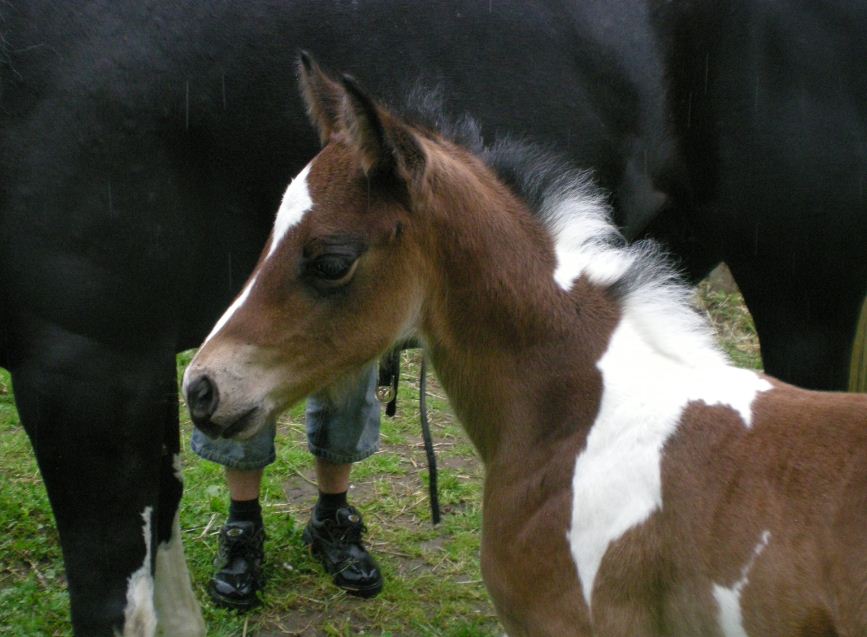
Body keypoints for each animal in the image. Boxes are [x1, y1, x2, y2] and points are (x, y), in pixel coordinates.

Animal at [0, 1, 864, 636]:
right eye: (268, 226)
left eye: (330, 259)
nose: (205, 386)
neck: (592, 410)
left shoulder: (88, 357)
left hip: (805, 278)